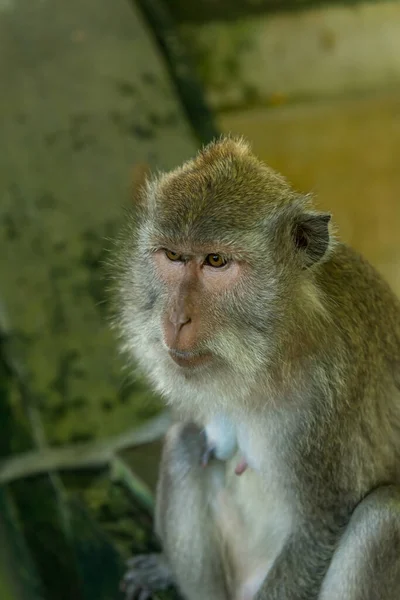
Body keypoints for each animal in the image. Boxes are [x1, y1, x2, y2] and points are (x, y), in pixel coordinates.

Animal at [109, 137, 400, 600]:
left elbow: (320, 525)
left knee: (383, 515)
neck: (274, 352)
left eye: (215, 261)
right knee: (184, 442)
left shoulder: (325, 400)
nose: (176, 319)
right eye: (173, 256)